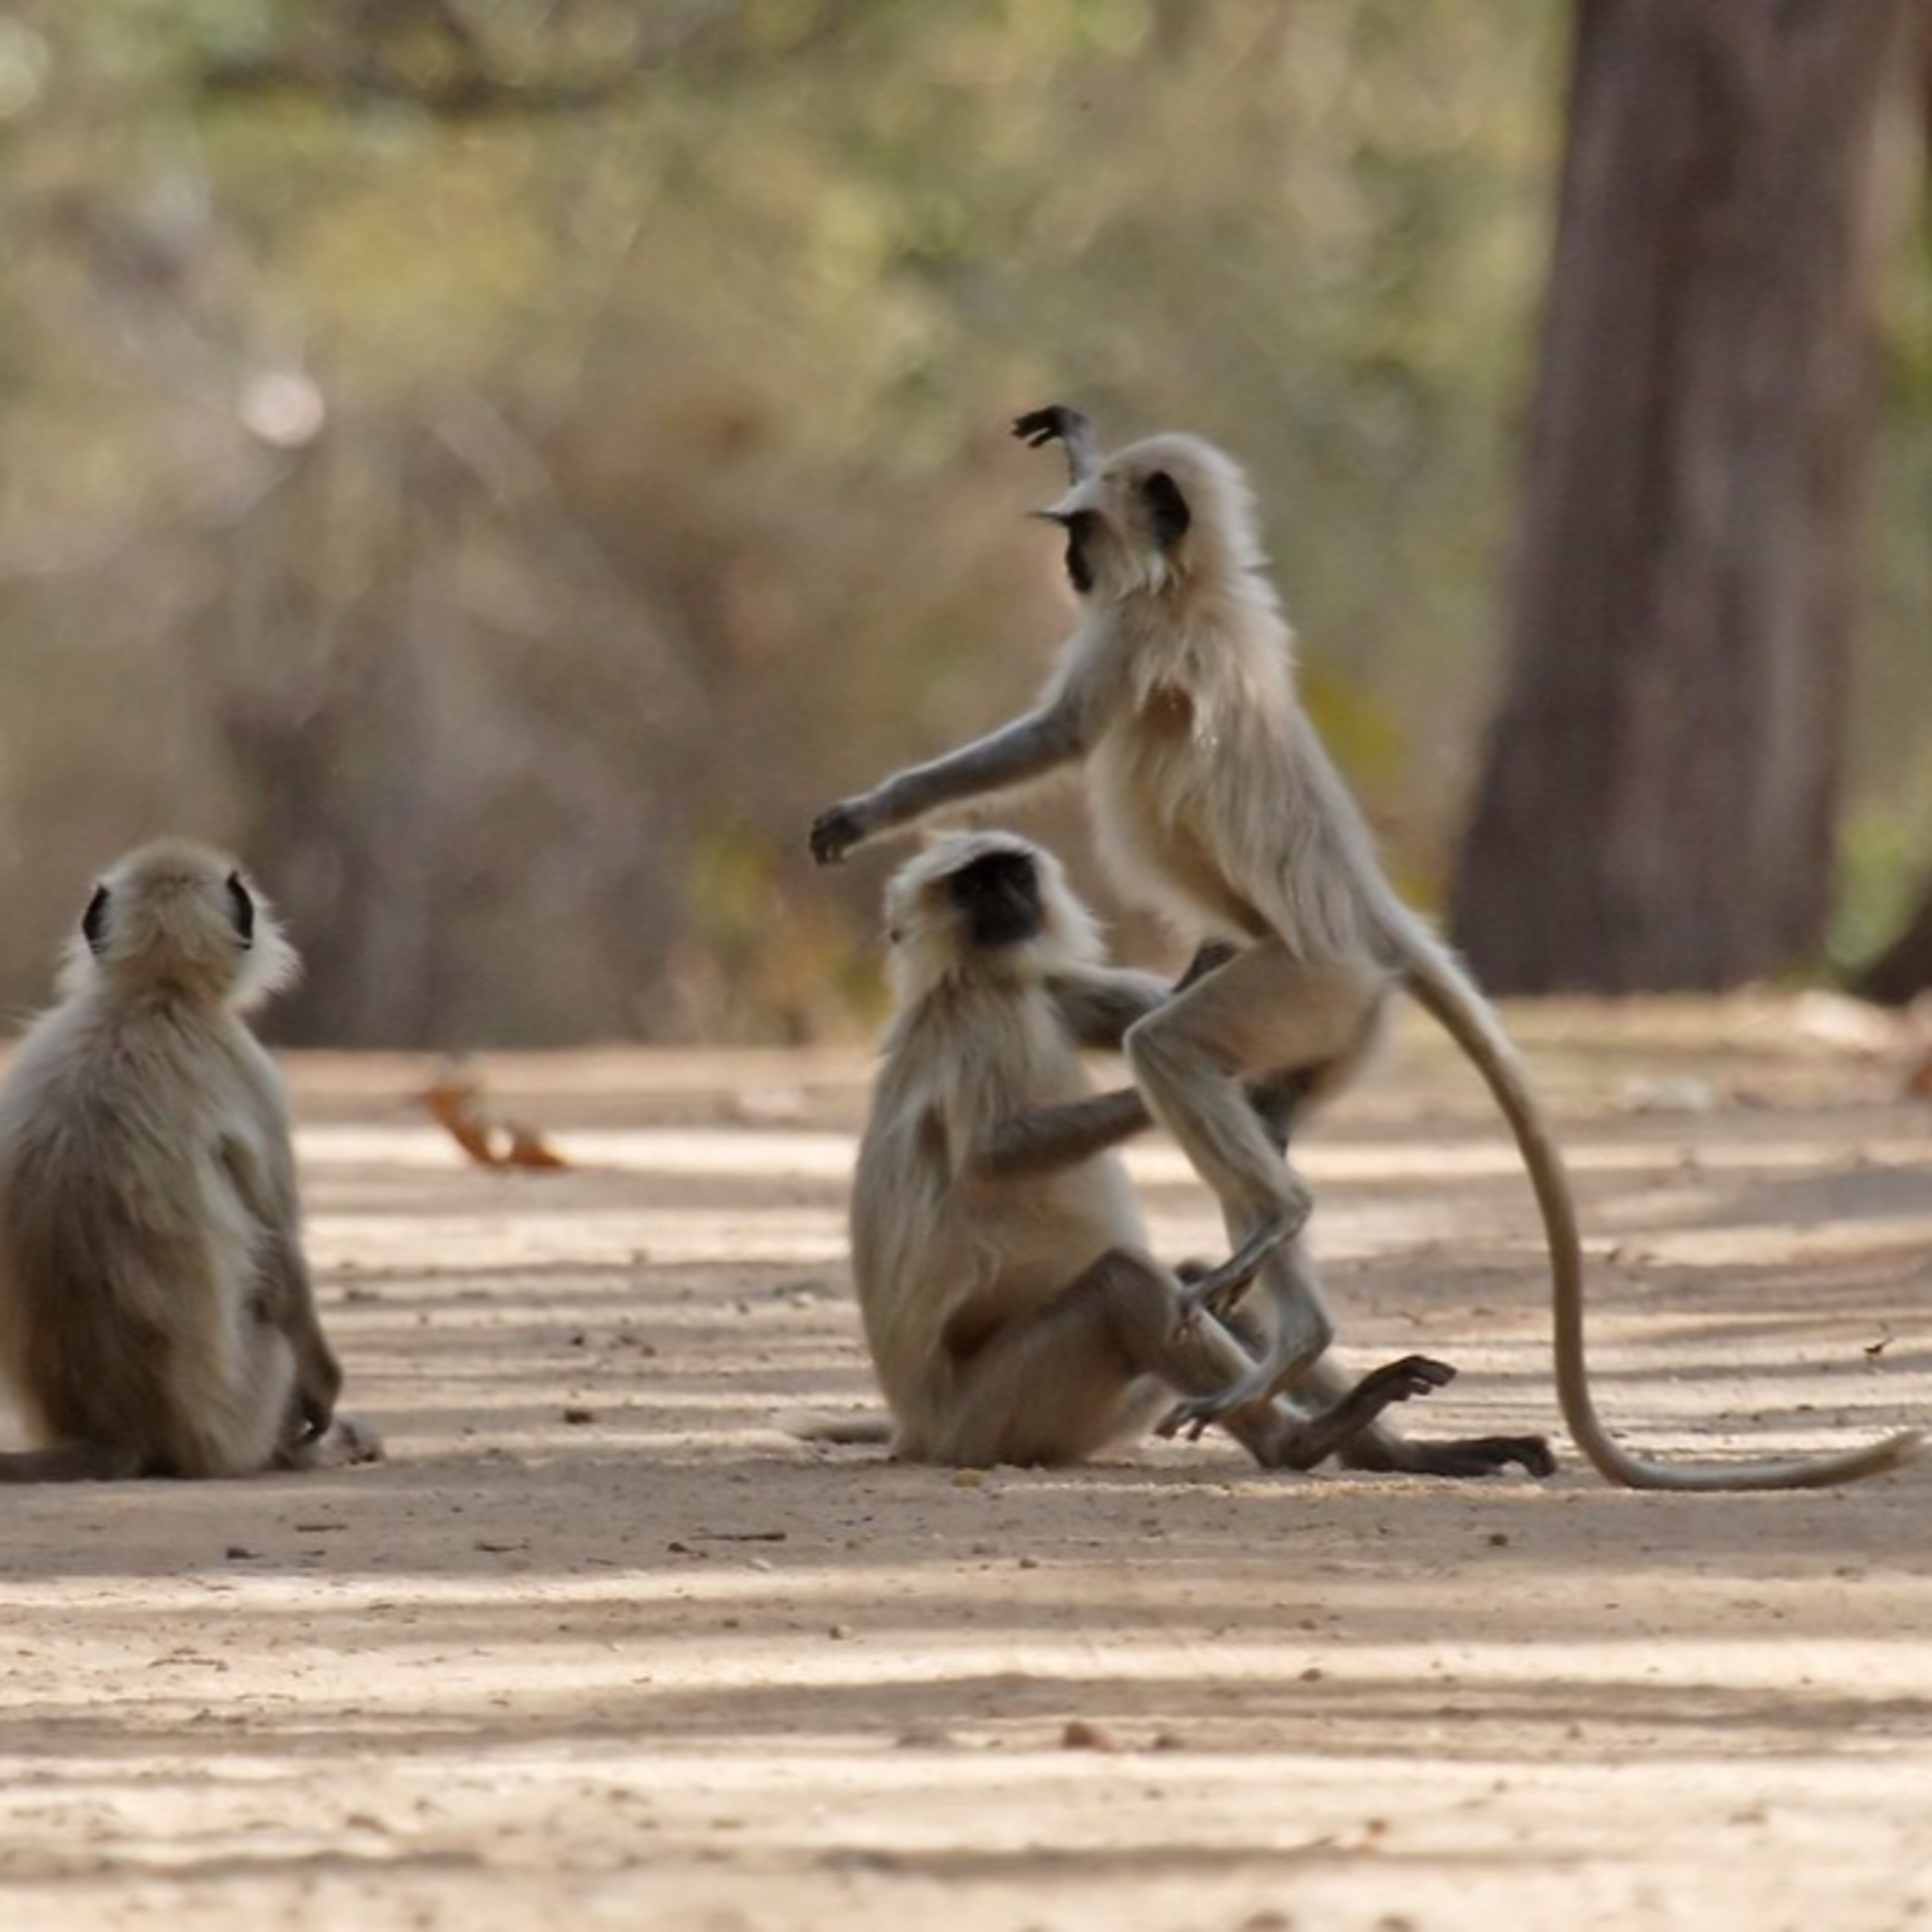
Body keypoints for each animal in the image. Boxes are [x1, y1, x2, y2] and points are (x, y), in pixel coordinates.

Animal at [0, 839, 380, 1481]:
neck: (156, 991)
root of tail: (116, 1431)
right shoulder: (251, 1068)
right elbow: (283, 1256)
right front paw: (327, 1389)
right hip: (241, 1409)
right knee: (276, 1322)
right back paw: (317, 1447)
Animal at [841, 826, 1475, 1473]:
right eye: (973, 886)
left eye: (1014, 876)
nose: (1007, 899)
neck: (986, 978)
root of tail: (917, 1430)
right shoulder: (979, 1015)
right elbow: (997, 1152)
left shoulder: (1055, 986)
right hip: (998, 1415)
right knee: (1123, 1284)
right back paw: (1301, 1441)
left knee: (1193, 1280)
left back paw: (1399, 1448)